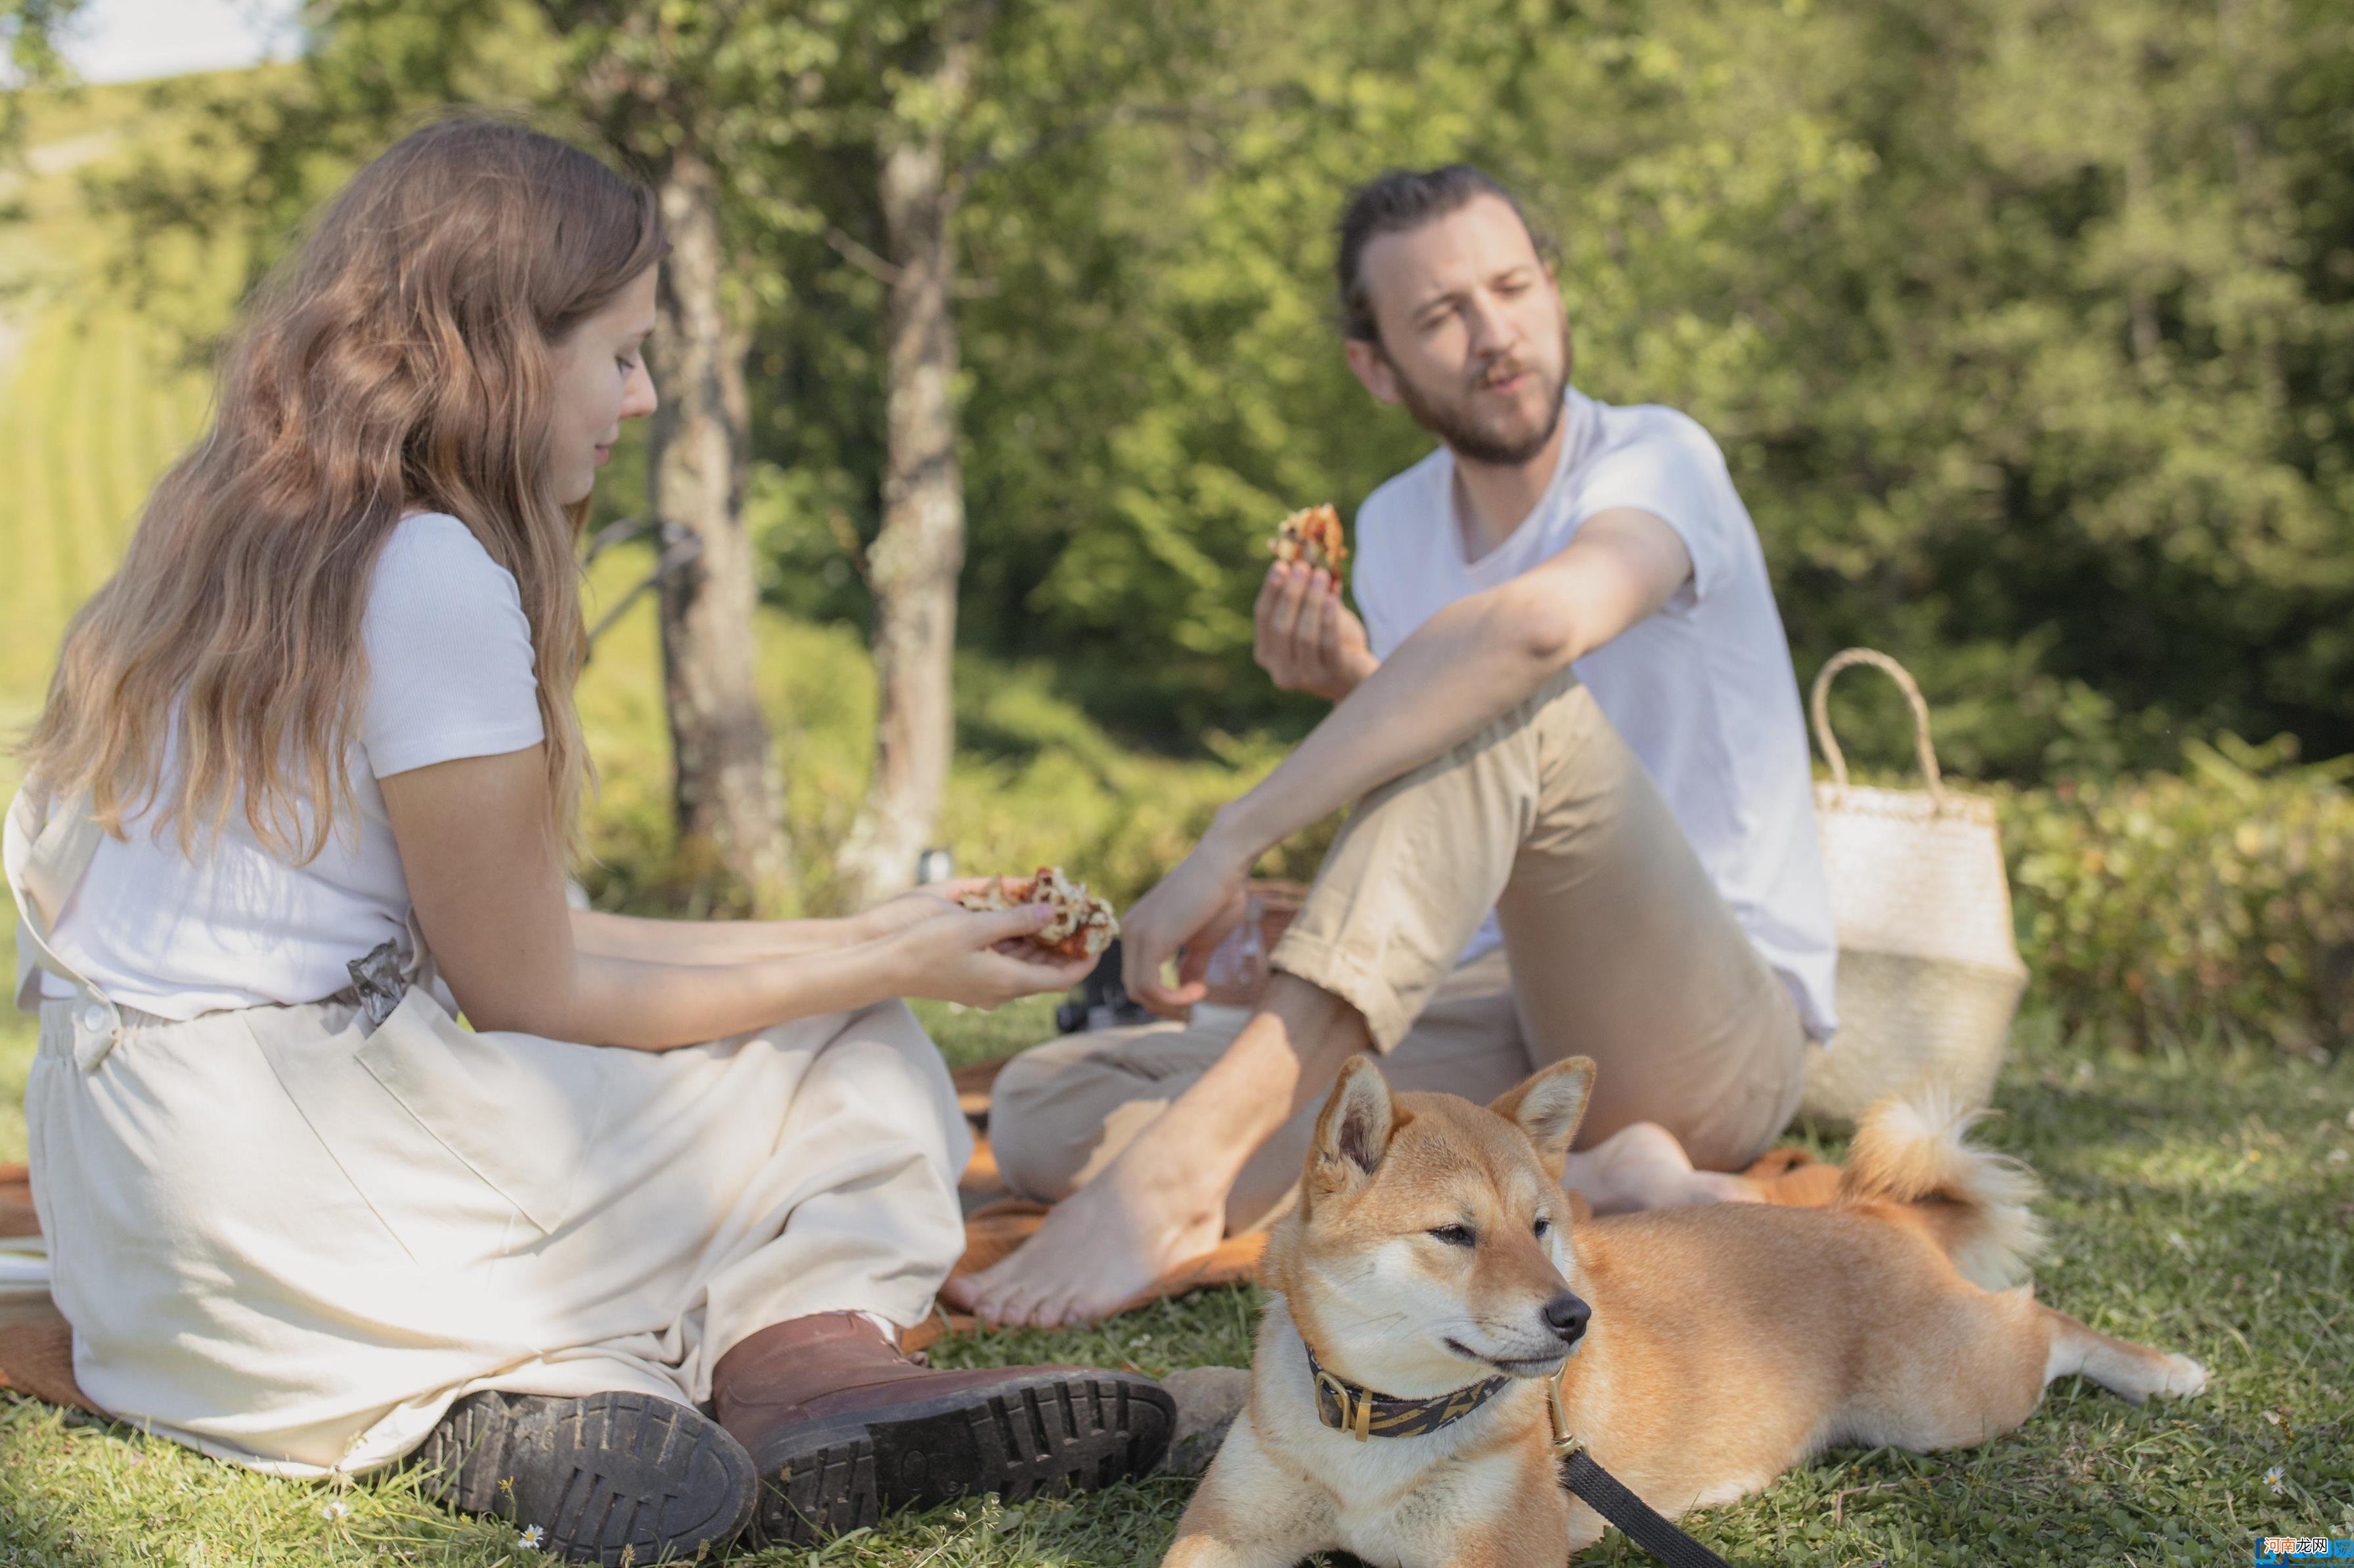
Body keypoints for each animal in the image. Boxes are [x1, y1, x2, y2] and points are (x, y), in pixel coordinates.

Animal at [1167, 1050, 2212, 1563]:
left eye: (1540, 1226)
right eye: (1455, 1234)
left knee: (2041, 1318)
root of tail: (1865, 1211)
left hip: (1944, 1406)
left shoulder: (1497, 1558)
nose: (1572, 1319)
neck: (1378, 1426)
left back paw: (2164, 1371)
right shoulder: (1223, 1534)